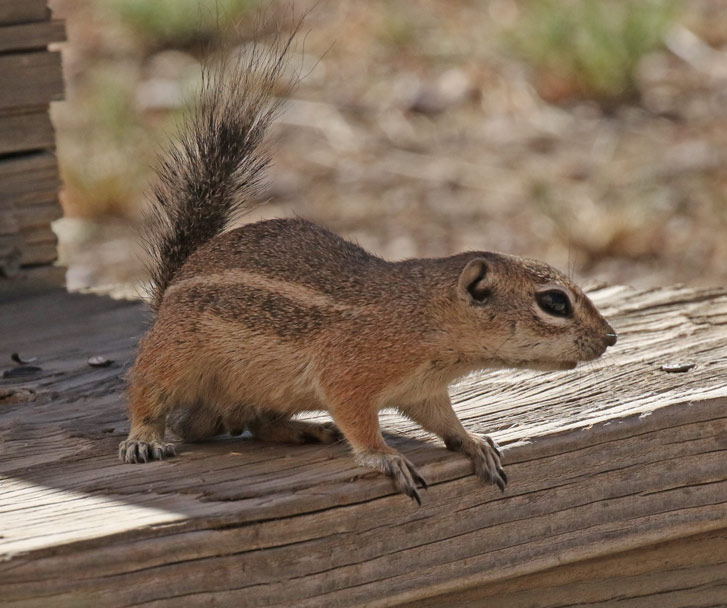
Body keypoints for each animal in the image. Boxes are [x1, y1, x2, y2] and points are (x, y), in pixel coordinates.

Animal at [118, 33, 617, 504]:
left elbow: (444, 420)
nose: (611, 337)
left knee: (253, 423)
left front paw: (473, 442)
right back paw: (143, 439)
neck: (424, 318)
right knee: (147, 393)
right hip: (174, 355)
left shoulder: (424, 390)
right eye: (554, 302)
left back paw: (303, 429)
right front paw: (385, 457)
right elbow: (358, 420)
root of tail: (169, 293)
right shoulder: (346, 371)